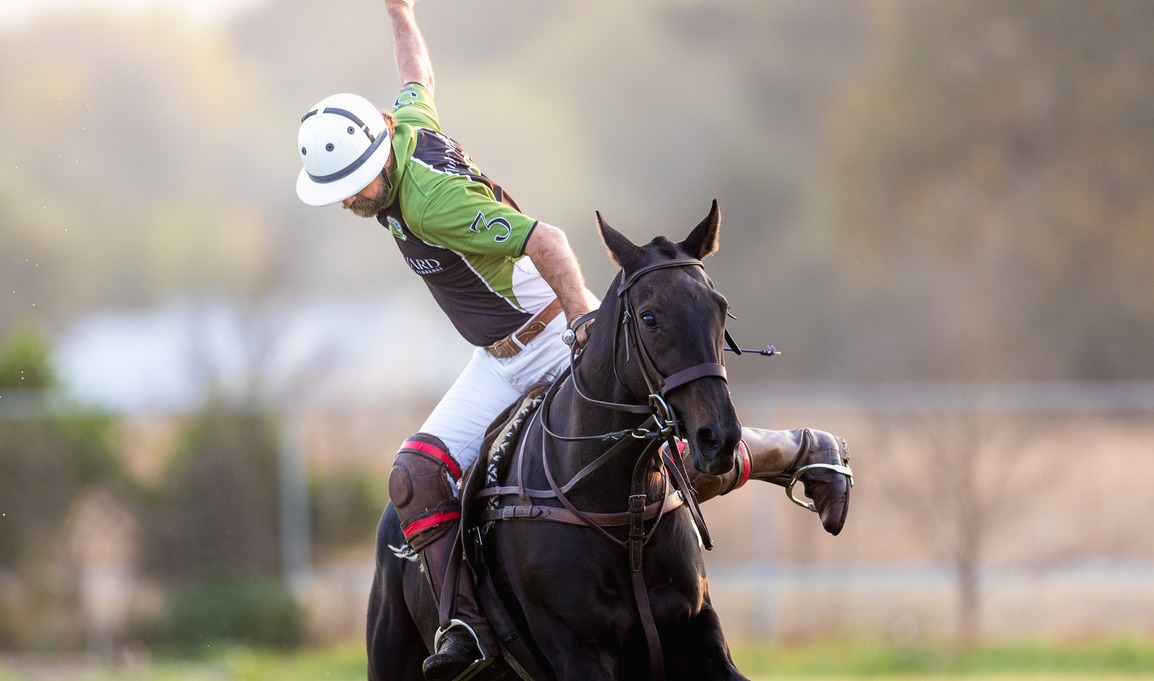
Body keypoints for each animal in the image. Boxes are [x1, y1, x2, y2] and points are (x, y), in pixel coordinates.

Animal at [368, 201, 748, 681]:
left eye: (722, 309)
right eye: (649, 317)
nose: (719, 438)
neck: (623, 508)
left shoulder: (698, 631)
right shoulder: (576, 648)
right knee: (411, 472)